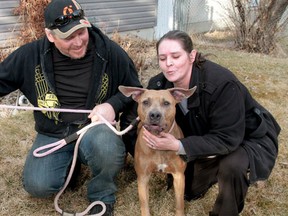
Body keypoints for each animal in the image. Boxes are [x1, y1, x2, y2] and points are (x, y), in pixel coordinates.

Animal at [118, 86, 197, 216]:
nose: (154, 114)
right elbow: (144, 205)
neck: (158, 140)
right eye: (145, 102)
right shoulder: (143, 178)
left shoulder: (179, 176)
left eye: (166, 103)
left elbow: (179, 203)